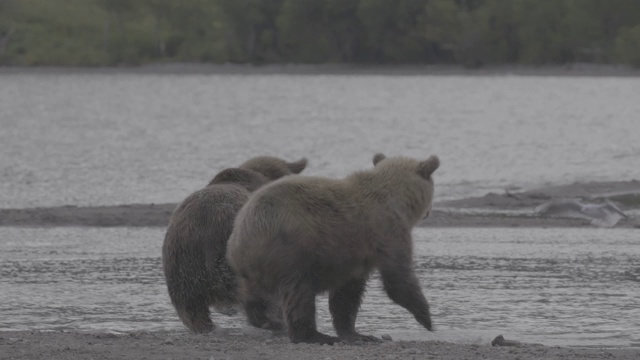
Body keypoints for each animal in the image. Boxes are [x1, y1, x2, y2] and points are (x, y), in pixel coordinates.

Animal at [228, 152, 442, 344]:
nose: (429, 212)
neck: (398, 200)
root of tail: (242, 234)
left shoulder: (353, 255)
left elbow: (346, 296)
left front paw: (358, 334)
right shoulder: (385, 232)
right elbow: (398, 279)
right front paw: (427, 318)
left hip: (249, 267)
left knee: (254, 296)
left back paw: (264, 320)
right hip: (292, 249)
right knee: (300, 294)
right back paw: (314, 335)